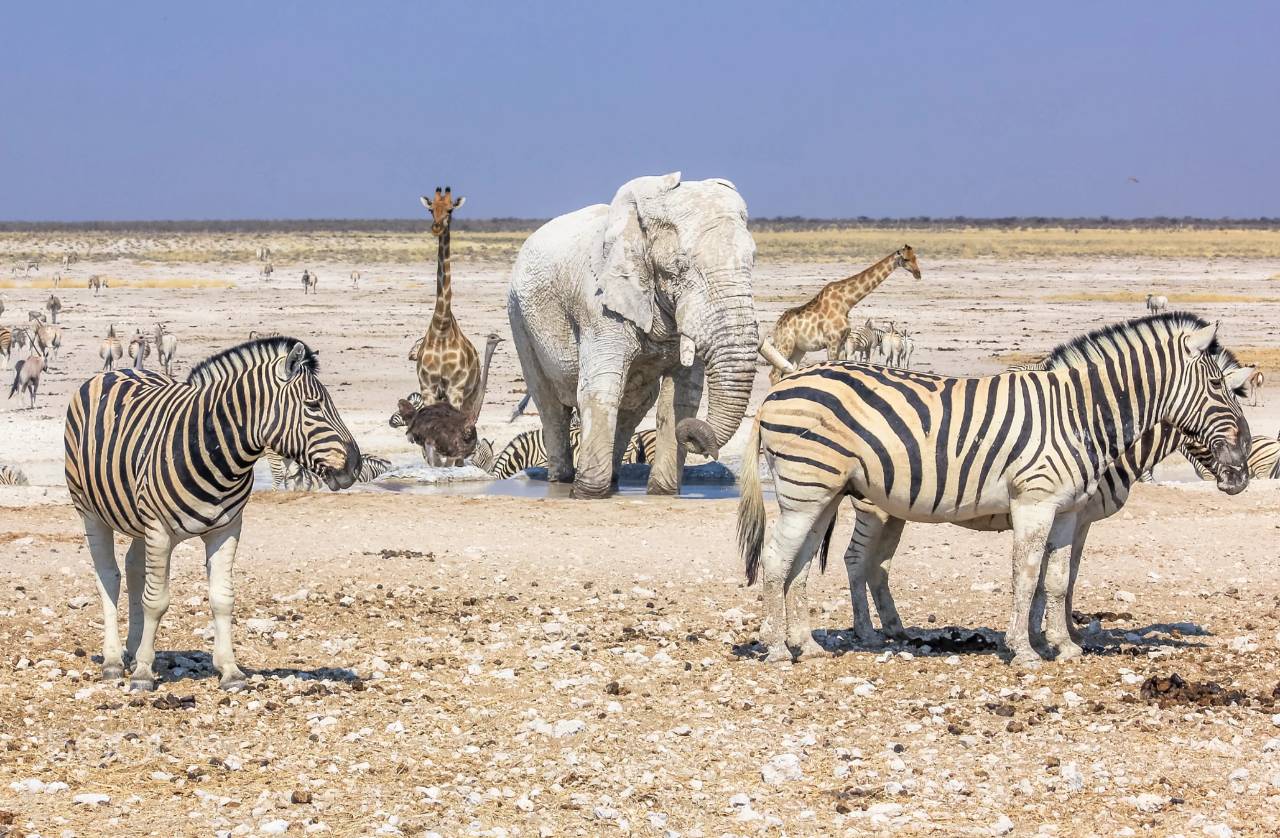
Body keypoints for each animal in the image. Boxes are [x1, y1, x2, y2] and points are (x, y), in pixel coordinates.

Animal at [68, 337, 363, 690]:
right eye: (313, 406)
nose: (356, 466)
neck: (216, 450)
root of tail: (116, 370)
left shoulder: (226, 529)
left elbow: (222, 598)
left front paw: (231, 671)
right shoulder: (159, 529)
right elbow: (156, 601)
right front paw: (143, 675)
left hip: (140, 523)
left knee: (135, 570)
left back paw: (134, 649)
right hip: (90, 511)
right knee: (109, 578)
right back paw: (113, 660)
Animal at [412, 188, 481, 427]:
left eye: (450, 210)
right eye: (431, 209)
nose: (436, 227)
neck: (441, 328)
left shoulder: (455, 390)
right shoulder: (428, 388)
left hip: (472, 396)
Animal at [506, 171, 757, 498]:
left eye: (753, 261)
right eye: (681, 267)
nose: (695, 436)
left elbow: (679, 399)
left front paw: (663, 493)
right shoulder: (598, 305)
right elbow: (599, 389)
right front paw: (587, 494)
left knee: (633, 406)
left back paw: (613, 480)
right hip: (519, 319)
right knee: (550, 405)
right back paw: (562, 481)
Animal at [742, 314, 1249, 670]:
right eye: (1218, 386)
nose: (1241, 473)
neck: (1080, 415)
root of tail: (781, 387)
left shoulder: (1068, 512)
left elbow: (1057, 578)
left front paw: (1062, 645)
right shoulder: (1036, 503)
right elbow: (1027, 575)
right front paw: (1025, 648)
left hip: (823, 494)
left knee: (806, 564)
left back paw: (808, 645)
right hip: (809, 490)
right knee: (783, 559)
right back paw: (779, 647)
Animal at [768, 244, 921, 386]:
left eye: (915, 257)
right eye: (906, 259)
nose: (918, 274)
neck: (846, 302)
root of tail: (777, 326)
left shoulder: (842, 342)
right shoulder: (832, 342)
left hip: (798, 349)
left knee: (788, 372)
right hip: (785, 345)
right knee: (774, 374)